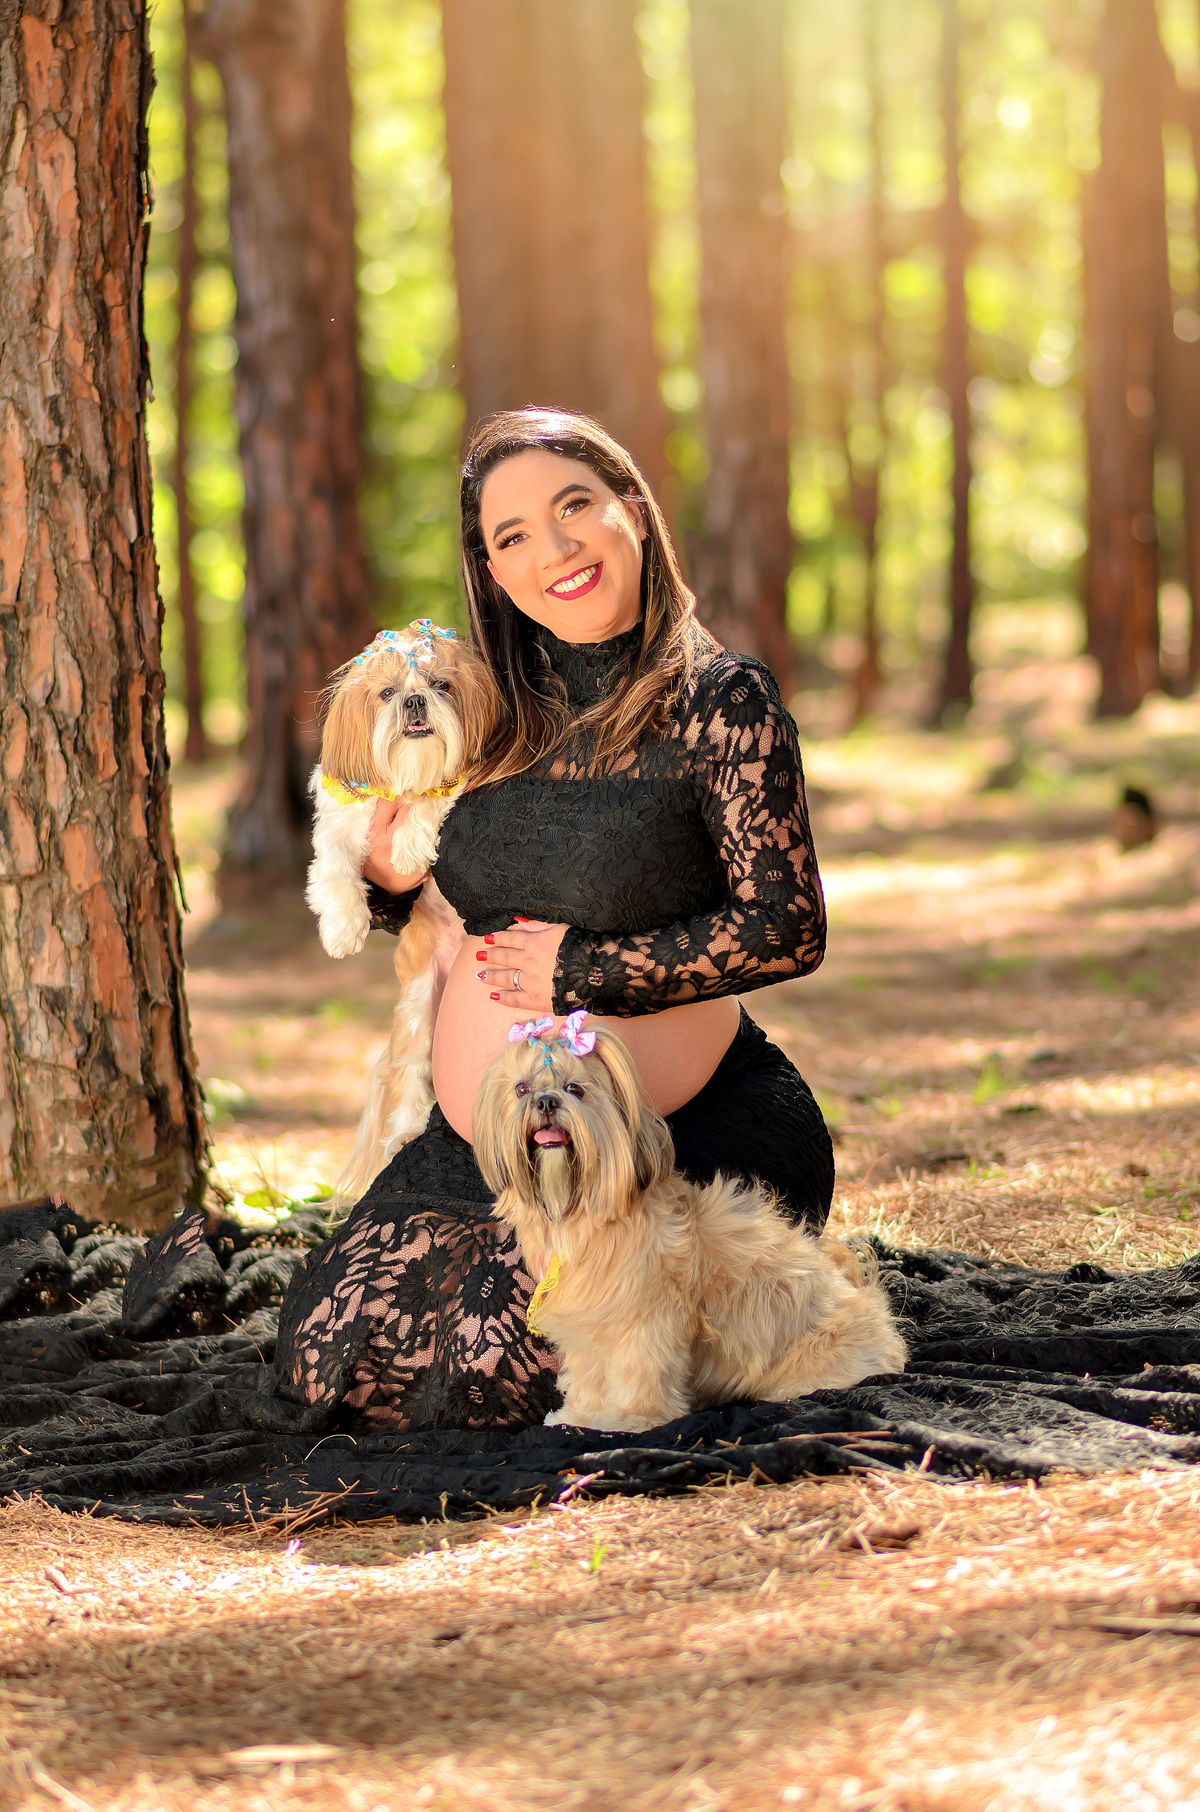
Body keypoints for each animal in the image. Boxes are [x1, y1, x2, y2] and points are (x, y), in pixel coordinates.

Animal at [306, 620, 495, 1209]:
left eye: (440, 684)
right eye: (386, 692)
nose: (414, 701)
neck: (408, 774)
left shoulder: (459, 782)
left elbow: (433, 802)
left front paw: (411, 845)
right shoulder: (342, 819)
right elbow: (335, 869)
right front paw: (343, 928)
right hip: (419, 1009)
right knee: (412, 1076)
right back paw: (407, 1132)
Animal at [473, 1014, 907, 1432]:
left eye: (575, 1089)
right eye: (522, 1089)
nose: (546, 1101)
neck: (588, 1219)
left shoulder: (645, 1320)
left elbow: (639, 1372)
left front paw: (632, 1420)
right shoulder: (589, 1323)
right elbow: (589, 1374)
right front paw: (580, 1416)